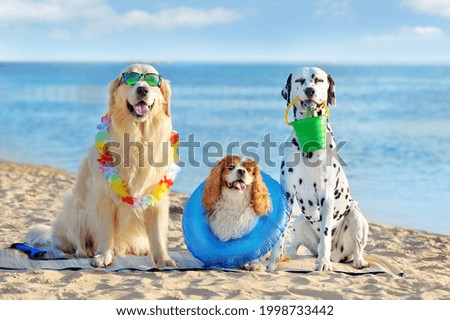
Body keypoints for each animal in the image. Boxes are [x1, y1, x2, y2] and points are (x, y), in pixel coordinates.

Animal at [24, 63, 176, 268]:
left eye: (152, 81)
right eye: (131, 79)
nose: (143, 90)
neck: (138, 139)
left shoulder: (157, 196)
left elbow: (158, 233)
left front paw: (164, 259)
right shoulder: (103, 197)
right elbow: (105, 231)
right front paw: (103, 255)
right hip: (76, 208)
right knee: (71, 242)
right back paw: (85, 250)